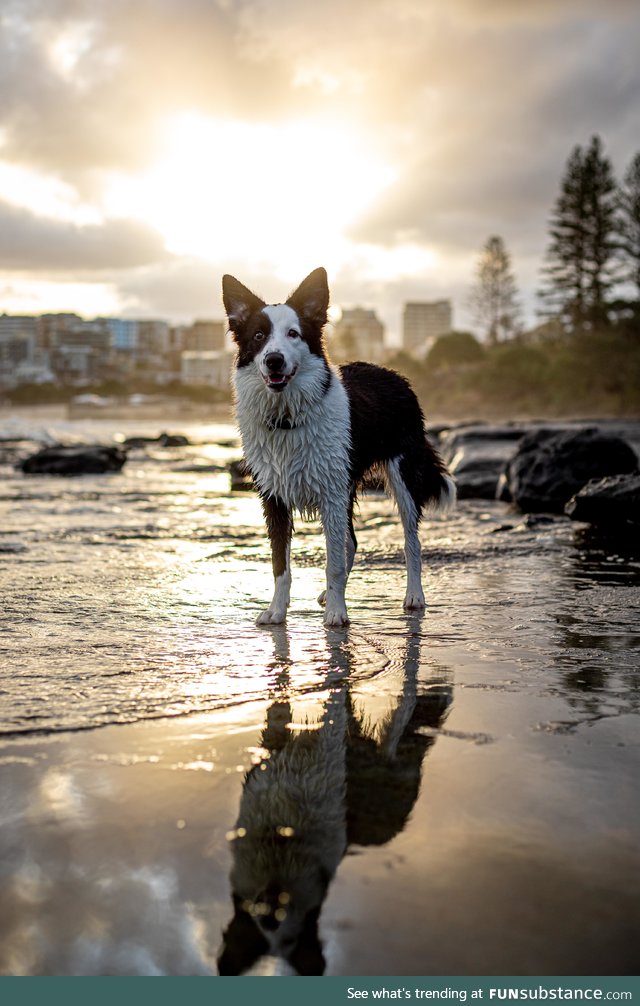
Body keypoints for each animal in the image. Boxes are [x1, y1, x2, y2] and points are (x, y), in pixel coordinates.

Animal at [221, 269, 454, 627]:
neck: (288, 416)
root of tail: (394, 374)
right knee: (352, 542)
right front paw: (277, 611)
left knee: (411, 541)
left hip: (401, 475)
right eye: (258, 335)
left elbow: (333, 562)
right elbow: (280, 564)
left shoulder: (331, 493)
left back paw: (414, 596)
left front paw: (336, 612)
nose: (274, 361)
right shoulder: (274, 496)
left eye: (293, 334)